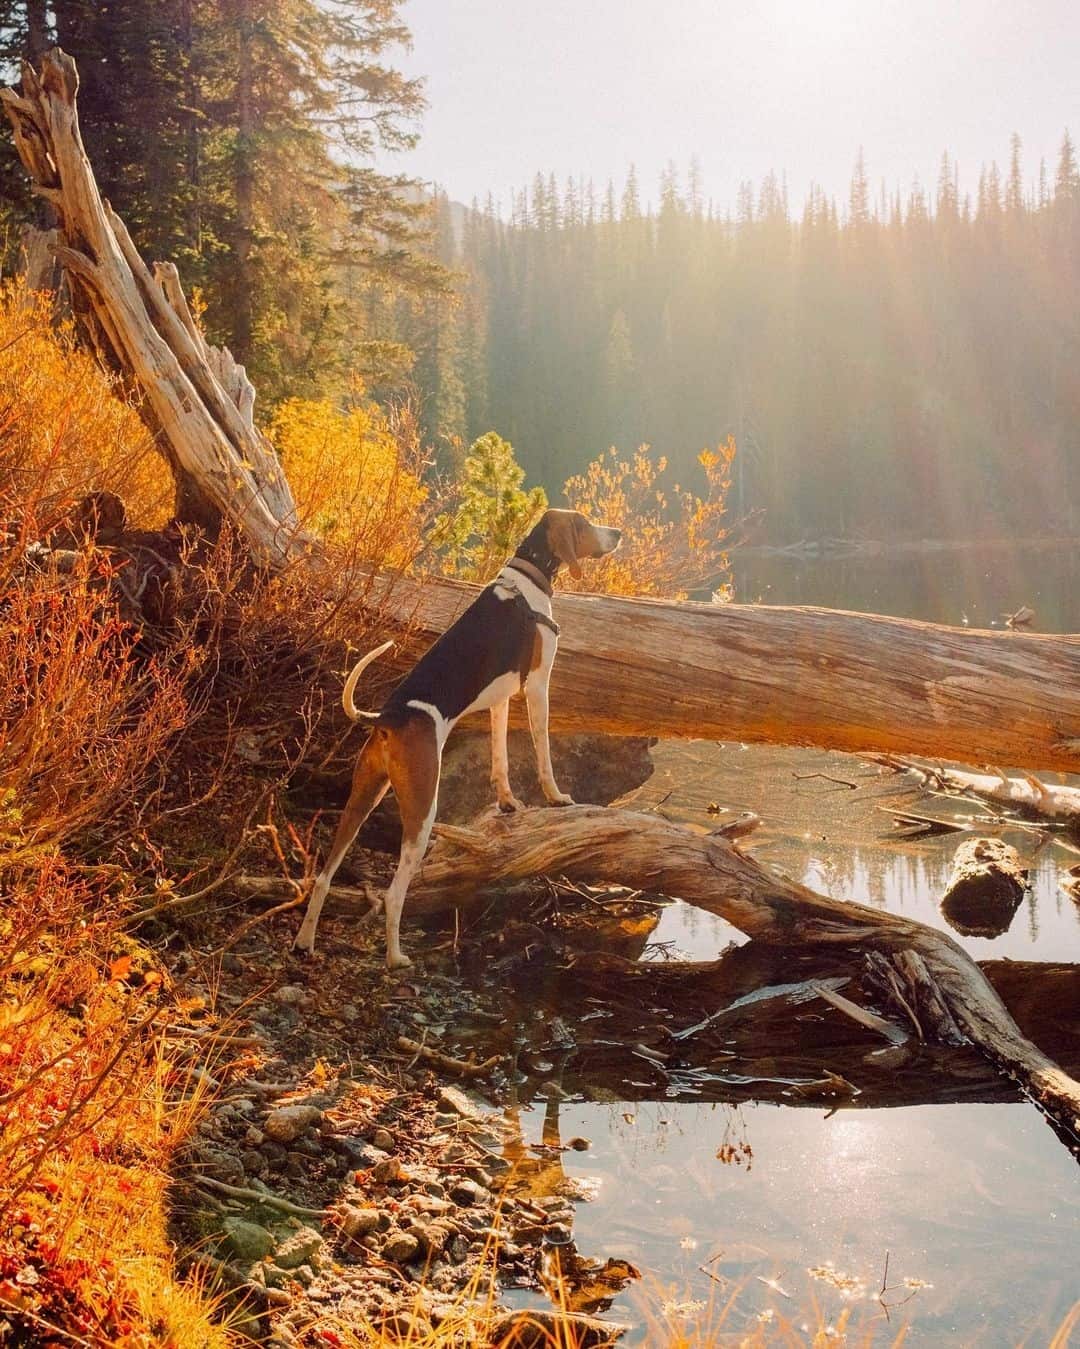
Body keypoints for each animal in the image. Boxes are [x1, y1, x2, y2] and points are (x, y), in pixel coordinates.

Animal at [291, 509, 620, 965]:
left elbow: (501, 760)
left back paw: (304, 941)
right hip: (422, 810)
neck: (527, 577)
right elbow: (543, 753)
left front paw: (508, 803)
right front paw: (556, 798)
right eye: (585, 524)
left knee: (323, 877)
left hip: (362, 799)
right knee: (393, 894)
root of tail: (389, 716)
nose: (618, 534)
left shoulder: (502, 699)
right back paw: (396, 958)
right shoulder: (538, 686)